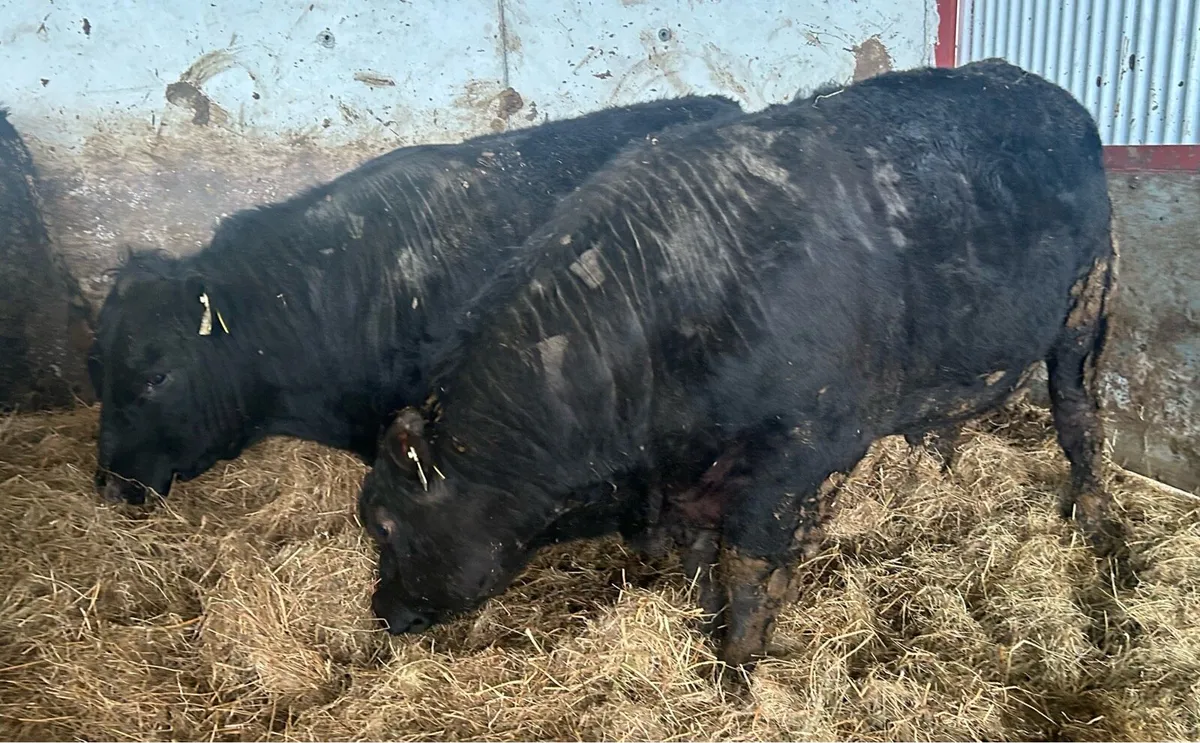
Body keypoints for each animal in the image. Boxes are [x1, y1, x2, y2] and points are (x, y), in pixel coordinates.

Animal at [356, 59, 1127, 671]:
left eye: (385, 524)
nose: (382, 609)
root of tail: (1037, 89)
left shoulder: (797, 460)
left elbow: (750, 571)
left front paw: (737, 668)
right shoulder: (699, 481)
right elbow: (704, 563)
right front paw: (704, 627)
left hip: (1086, 313)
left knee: (1080, 422)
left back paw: (1093, 520)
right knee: (949, 421)